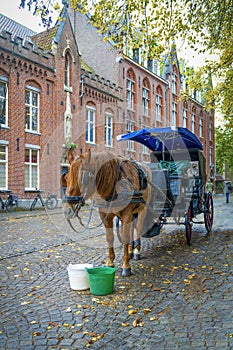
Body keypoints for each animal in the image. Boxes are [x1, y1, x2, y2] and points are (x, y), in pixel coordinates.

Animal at [61, 148, 154, 276]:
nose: (67, 210)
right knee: (130, 230)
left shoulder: (127, 213)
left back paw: (136, 252)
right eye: (66, 178)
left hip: (142, 210)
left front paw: (126, 266)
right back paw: (130, 250)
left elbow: (124, 237)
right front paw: (110, 262)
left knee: (138, 229)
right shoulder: (105, 215)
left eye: (83, 178)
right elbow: (110, 237)